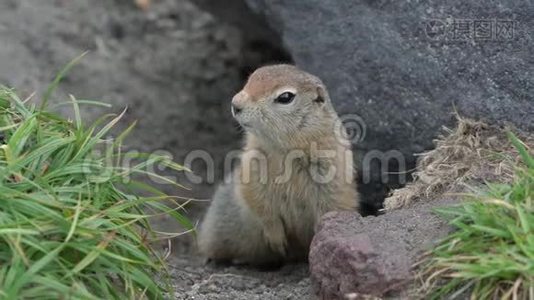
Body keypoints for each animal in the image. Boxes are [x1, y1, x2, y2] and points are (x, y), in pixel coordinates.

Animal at [198, 63, 360, 264]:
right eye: (251, 78)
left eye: (285, 97)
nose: (236, 104)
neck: (285, 150)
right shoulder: (251, 167)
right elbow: (257, 201)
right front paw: (276, 239)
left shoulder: (333, 175)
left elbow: (330, 208)